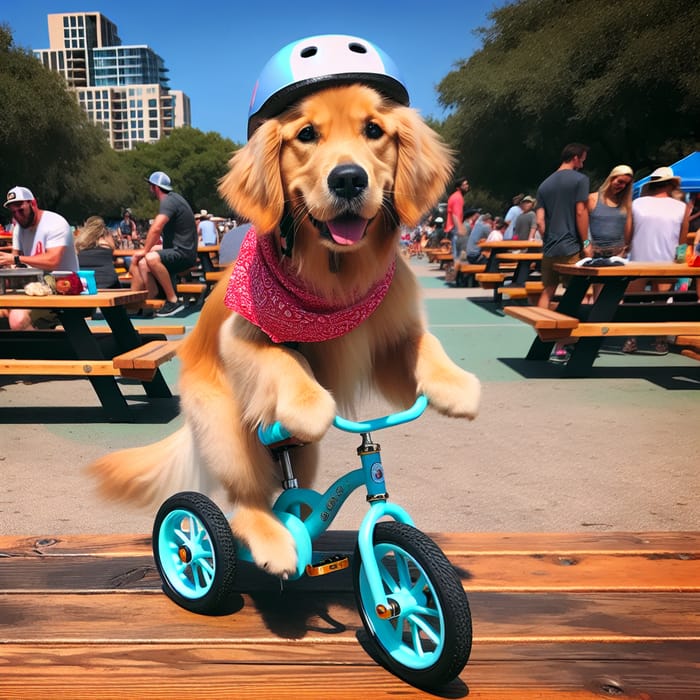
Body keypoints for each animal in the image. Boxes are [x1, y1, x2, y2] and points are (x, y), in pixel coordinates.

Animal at [89, 82, 482, 576]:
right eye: (307, 134)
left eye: (374, 130)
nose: (348, 179)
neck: (332, 282)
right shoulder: (239, 338)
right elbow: (286, 355)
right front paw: (309, 402)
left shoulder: (389, 349)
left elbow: (421, 341)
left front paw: (455, 386)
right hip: (228, 429)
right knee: (242, 502)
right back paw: (270, 542)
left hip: (303, 452)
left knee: (289, 489)